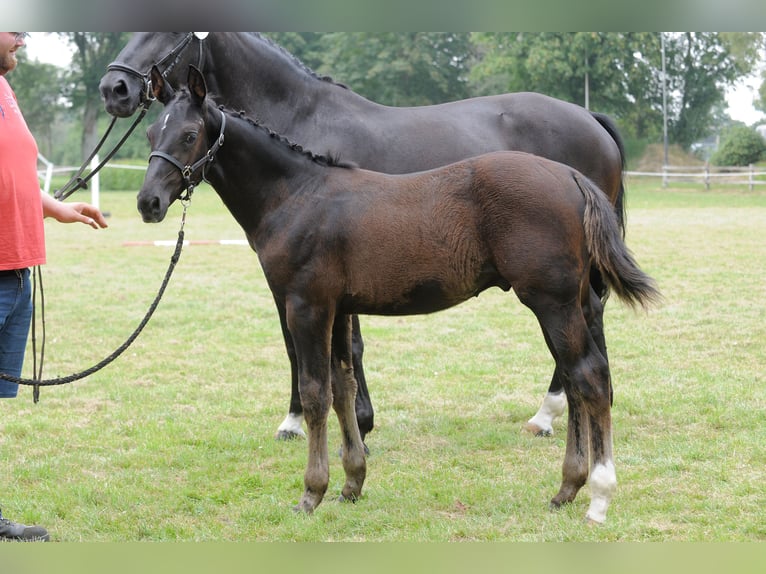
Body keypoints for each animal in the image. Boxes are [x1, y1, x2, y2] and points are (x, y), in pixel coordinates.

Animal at [100, 31, 632, 444]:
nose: (114, 88)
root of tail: (591, 119)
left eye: (168, 27)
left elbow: (320, 347)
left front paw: (315, 421)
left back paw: (550, 413)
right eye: (151, 136)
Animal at [140, 67, 660, 528]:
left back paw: (598, 499)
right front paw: (352, 483)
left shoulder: (307, 305)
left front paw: (311, 493)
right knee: (579, 379)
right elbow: (343, 387)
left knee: (588, 378)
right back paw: (567, 488)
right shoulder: (339, 309)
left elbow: (314, 393)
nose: (148, 203)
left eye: (189, 134)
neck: (297, 194)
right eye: (149, 133)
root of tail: (572, 177)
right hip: (573, 301)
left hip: (552, 301)